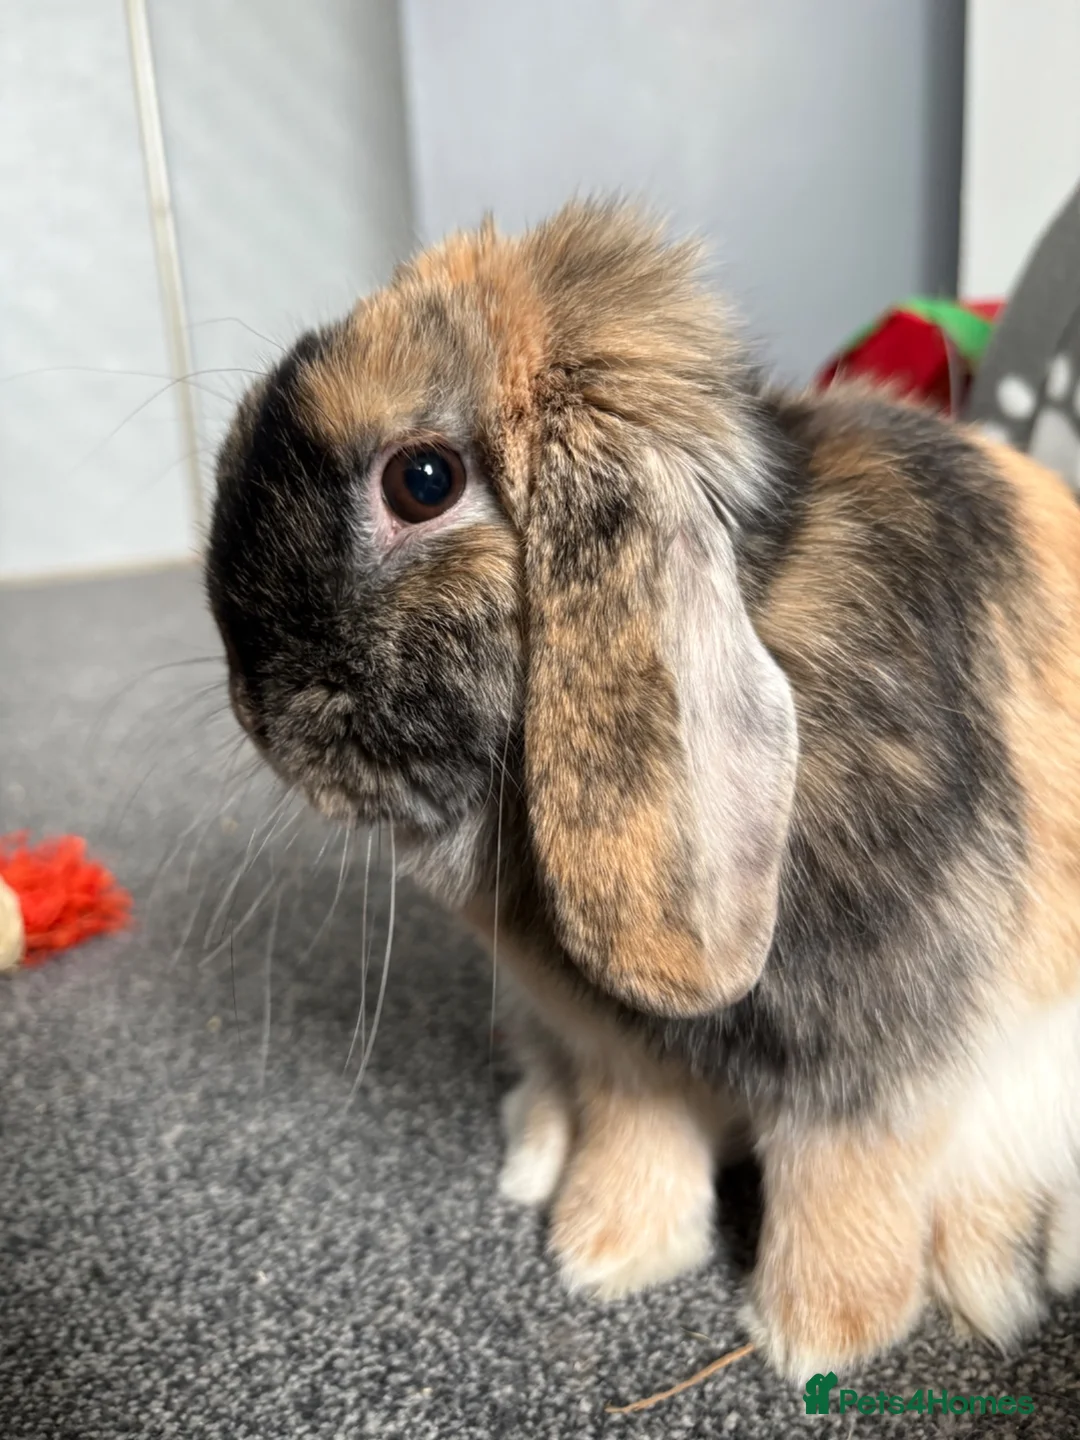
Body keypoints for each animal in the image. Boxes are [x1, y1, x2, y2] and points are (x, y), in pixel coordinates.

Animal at [206, 200, 1080, 1380]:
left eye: (423, 481)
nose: (255, 707)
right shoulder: (621, 1055)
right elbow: (640, 1140)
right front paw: (605, 1253)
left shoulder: (873, 1067)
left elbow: (843, 1185)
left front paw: (815, 1338)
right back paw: (533, 1161)